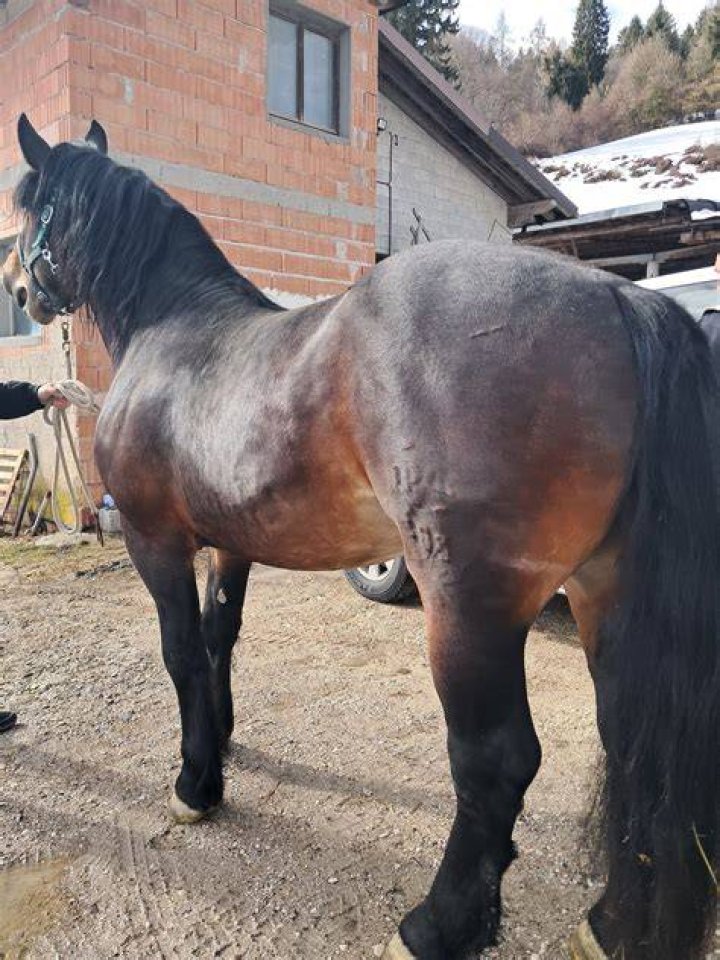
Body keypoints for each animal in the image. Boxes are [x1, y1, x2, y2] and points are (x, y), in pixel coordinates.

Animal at [4, 114, 719, 960]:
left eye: (25, 205)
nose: (17, 289)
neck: (173, 331)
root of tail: (619, 296)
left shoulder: (158, 541)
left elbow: (180, 652)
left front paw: (195, 784)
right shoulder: (231, 544)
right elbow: (219, 640)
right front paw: (222, 741)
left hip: (470, 608)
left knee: (497, 762)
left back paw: (437, 926)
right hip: (605, 593)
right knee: (634, 740)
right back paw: (610, 922)